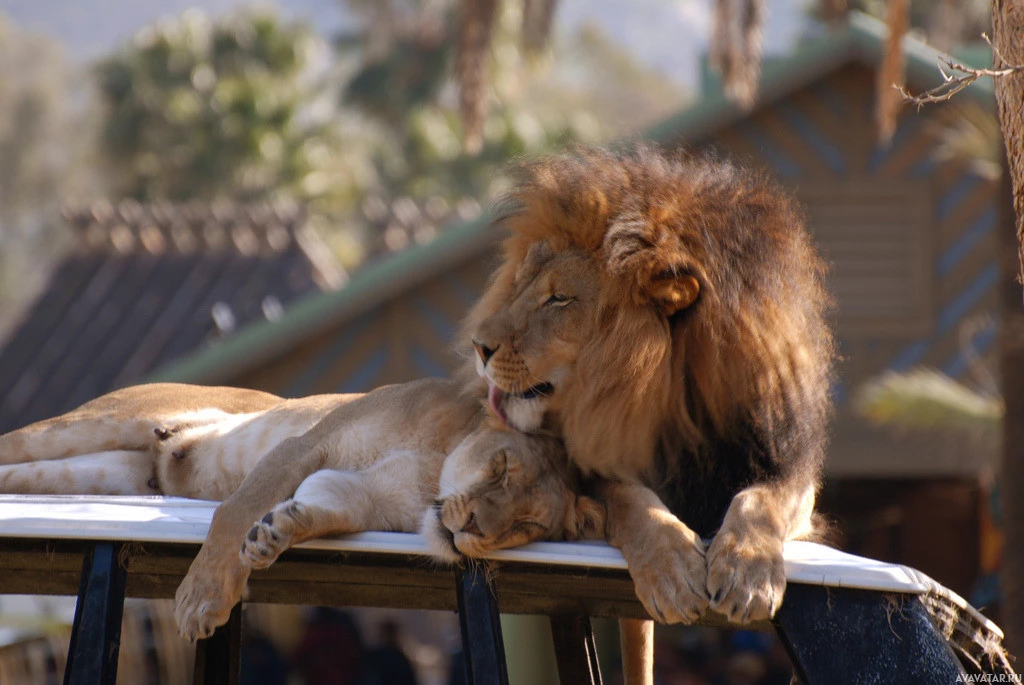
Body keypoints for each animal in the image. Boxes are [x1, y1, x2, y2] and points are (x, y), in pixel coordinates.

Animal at [468, 145, 835, 626]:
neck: (676, 402)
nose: (478, 346)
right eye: (519, 283)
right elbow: (632, 499)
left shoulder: (787, 467)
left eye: (559, 298)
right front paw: (672, 572)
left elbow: (760, 501)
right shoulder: (593, 470)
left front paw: (748, 573)